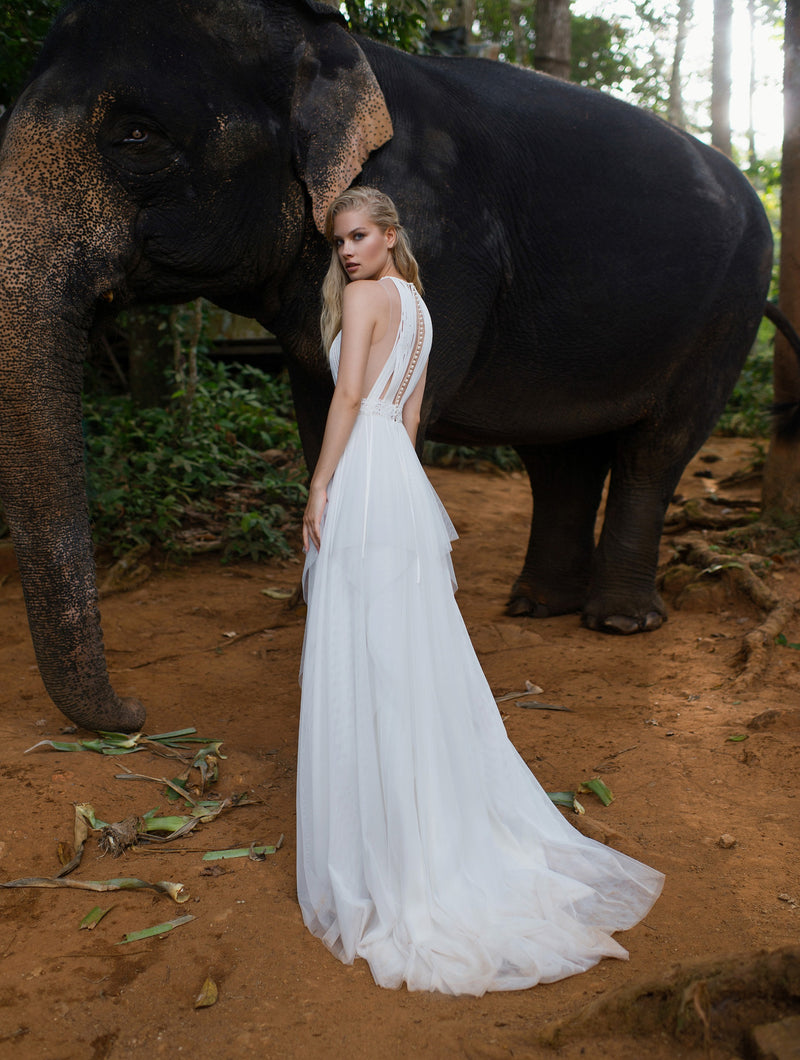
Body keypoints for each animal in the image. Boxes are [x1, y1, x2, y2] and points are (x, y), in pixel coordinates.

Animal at [0, 0, 779, 733]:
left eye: (137, 135)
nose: (136, 712)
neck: (335, 48)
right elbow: (320, 419)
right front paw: (313, 602)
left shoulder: (444, 252)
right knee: (560, 456)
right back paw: (535, 607)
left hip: (732, 306)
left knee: (658, 449)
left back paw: (617, 622)